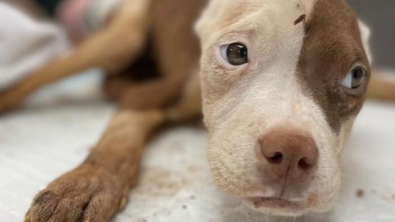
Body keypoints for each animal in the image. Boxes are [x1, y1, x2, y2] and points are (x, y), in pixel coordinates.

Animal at [0, 0, 394, 220]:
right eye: (235, 52)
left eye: (355, 76)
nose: (291, 152)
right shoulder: (154, 94)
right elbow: (119, 138)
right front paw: (85, 184)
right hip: (122, 38)